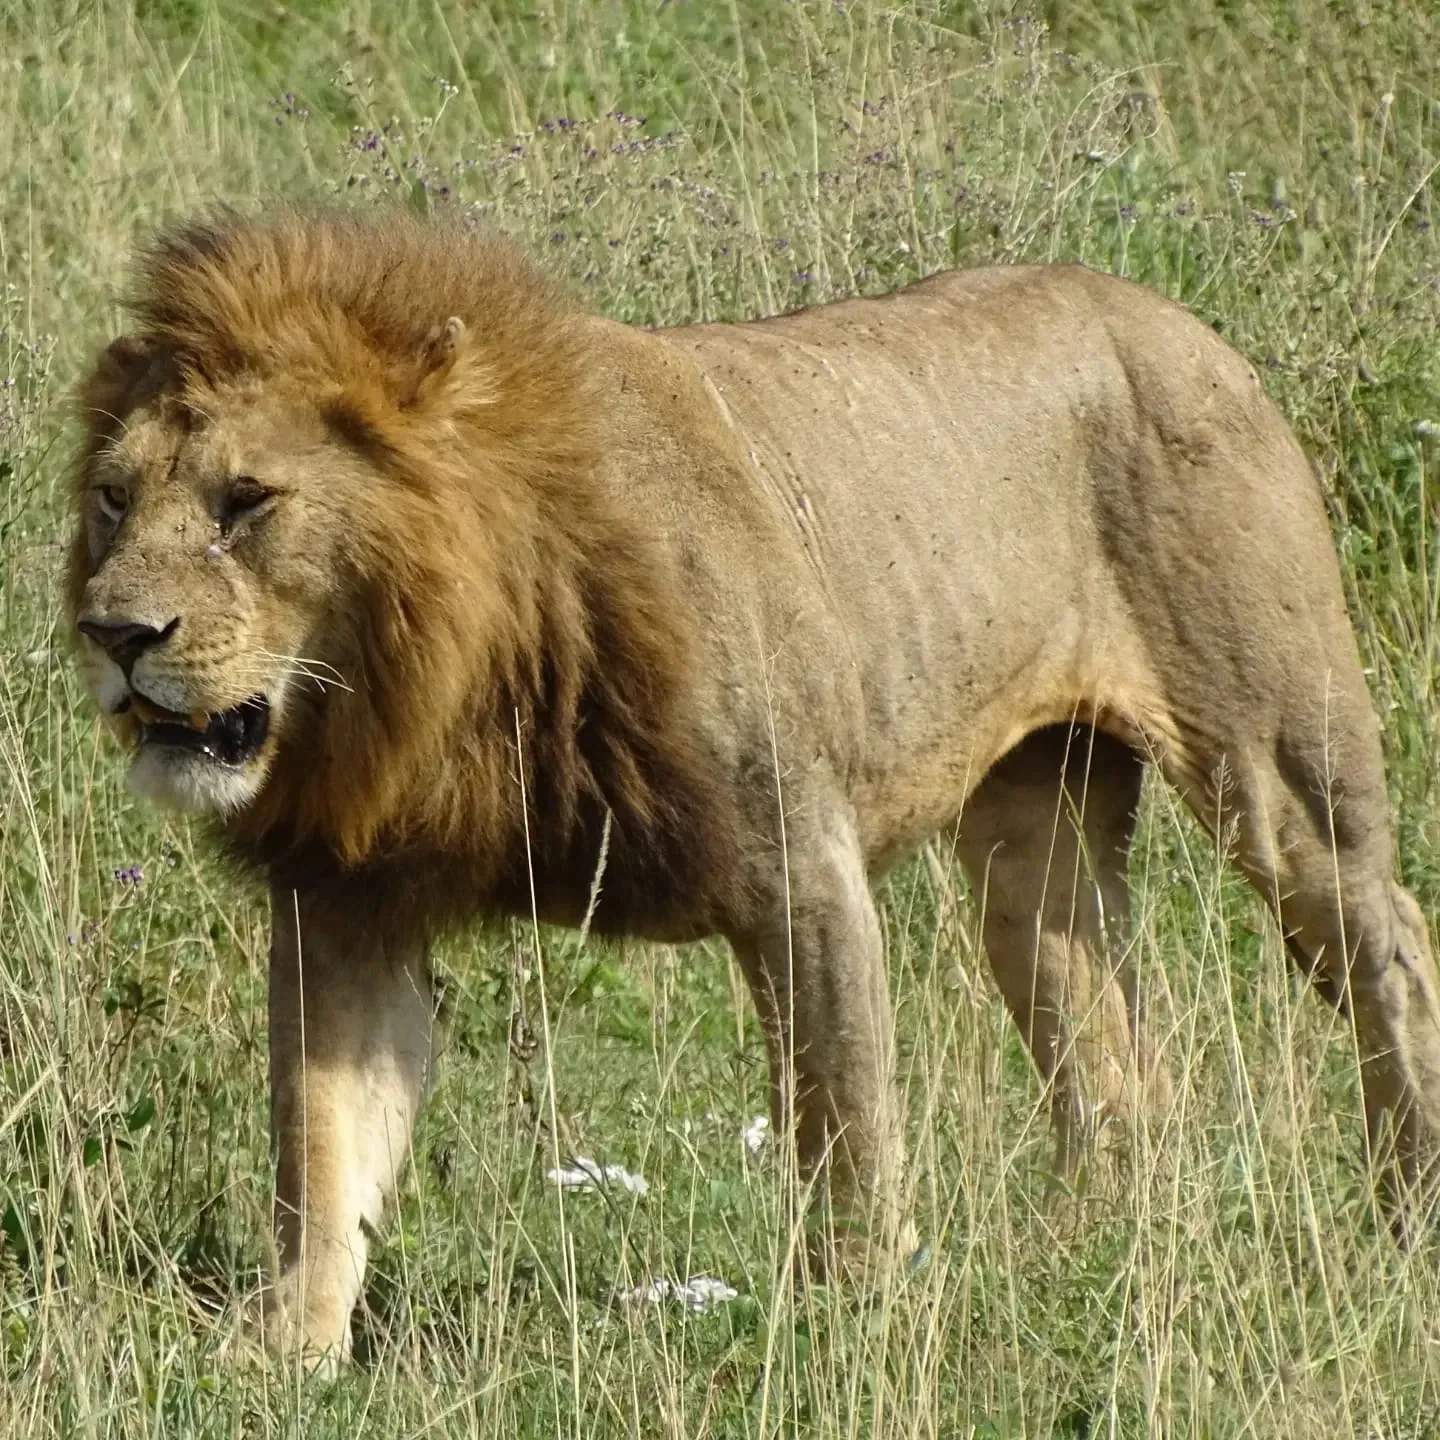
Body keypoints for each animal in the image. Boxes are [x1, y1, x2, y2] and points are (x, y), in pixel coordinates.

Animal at [70, 208, 1440, 1365]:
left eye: (248, 501)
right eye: (113, 499)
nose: (112, 634)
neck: (444, 678)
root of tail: (1178, 319)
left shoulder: (801, 872)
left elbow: (846, 1127)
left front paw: (858, 1332)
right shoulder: (345, 901)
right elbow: (321, 1138)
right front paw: (278, 1355)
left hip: (1277, 762)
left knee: (1389, 943)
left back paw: (1405, 1212)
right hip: (1030, 838)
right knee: (1115, 1058)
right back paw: (1085, 1261)